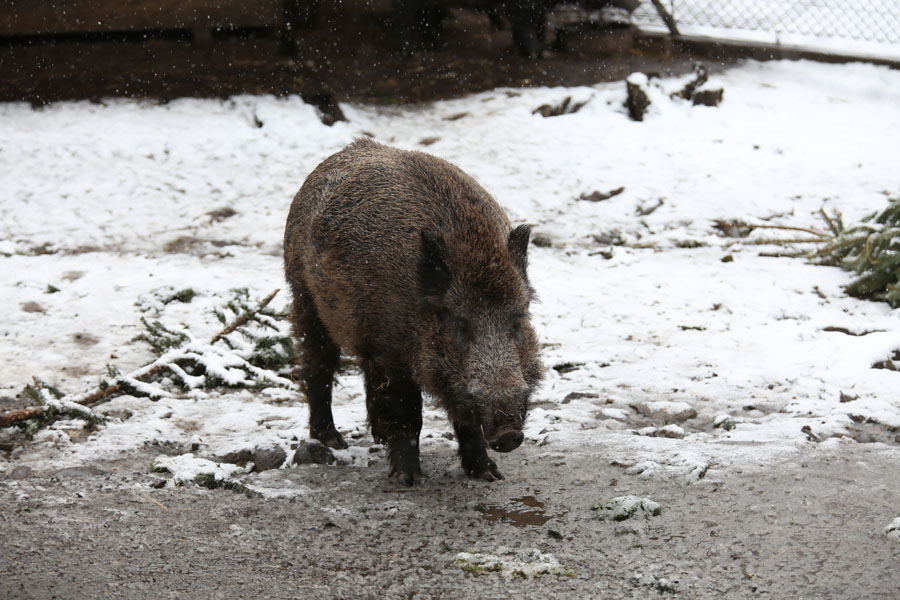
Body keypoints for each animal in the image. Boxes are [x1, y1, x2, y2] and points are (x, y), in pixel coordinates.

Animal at [283, 139, 543, 485]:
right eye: (460, 325)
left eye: (517, 321)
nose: (508, 433)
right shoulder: (392, 352)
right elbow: (409, 414)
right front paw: (407, 479)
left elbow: (465, 421)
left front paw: (489, 474)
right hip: (304, 299)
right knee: (318, 366)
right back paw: (331, 440)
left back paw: (378, 437)